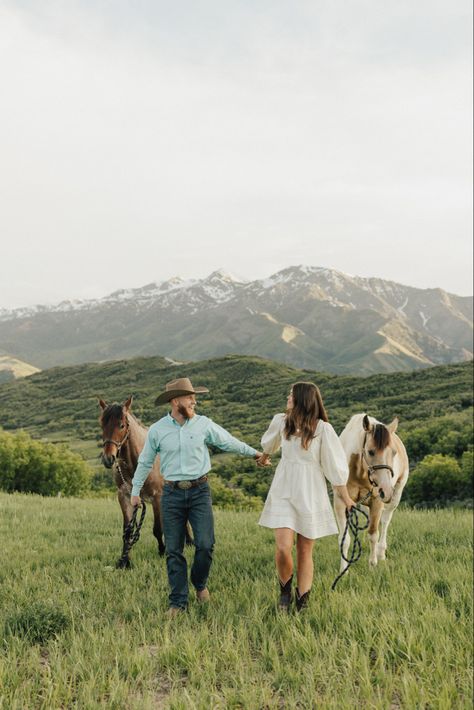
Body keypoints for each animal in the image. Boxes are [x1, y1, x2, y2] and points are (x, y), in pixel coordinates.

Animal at [97, 398, 166, 572]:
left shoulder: (157, 496)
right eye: (102, 425)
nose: (108, 459)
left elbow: (158, 529)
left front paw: (163, 552)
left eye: (122, 425)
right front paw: (124, 561)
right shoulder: (124, 497)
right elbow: (127, 532)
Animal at [336, 414, 410, 572]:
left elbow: (373, 534)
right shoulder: (340, 502)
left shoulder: (376, 501)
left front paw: (372, 564)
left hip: (395, 497)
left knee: (385, 521)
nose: (386, 491)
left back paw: (381, 553)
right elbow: (344, 539)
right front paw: (344, 569)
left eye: (393, 453)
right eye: (370, 451)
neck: (359, 472)